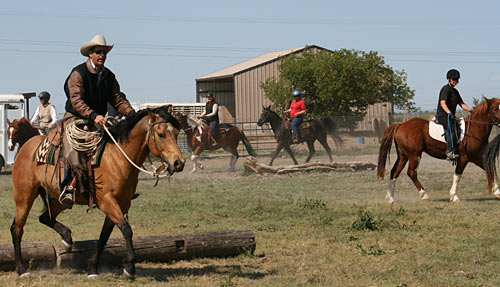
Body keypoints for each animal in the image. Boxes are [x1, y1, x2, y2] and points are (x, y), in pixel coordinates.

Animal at [9, 107, 185, 280]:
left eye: (177, 133)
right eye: (161, 134)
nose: (178, 163)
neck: (117, 157)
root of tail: (26, 146)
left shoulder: (122, 203)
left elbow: (104, 236)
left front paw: (93, 268)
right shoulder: (107, 201)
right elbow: (127, 229)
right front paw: (129, 268)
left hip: (60, 200)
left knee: (45, 217)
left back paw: (67, 238)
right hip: (24, 196)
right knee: (17, 229)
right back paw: (21, 269)